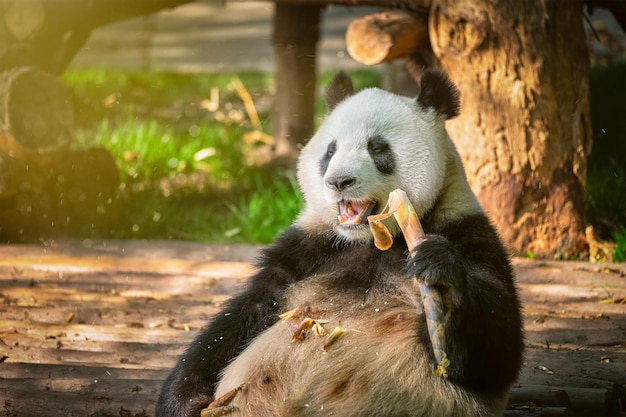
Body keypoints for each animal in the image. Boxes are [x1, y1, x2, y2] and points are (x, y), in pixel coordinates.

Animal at [156, 69, 520, 416]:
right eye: (330, 150)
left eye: (378, 148)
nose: (339, 181)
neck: (372, 241)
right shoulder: (309, 248)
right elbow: (241, 317)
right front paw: (182, 401)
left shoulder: (468, 232)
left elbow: (495, 353)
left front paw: (439, 276)